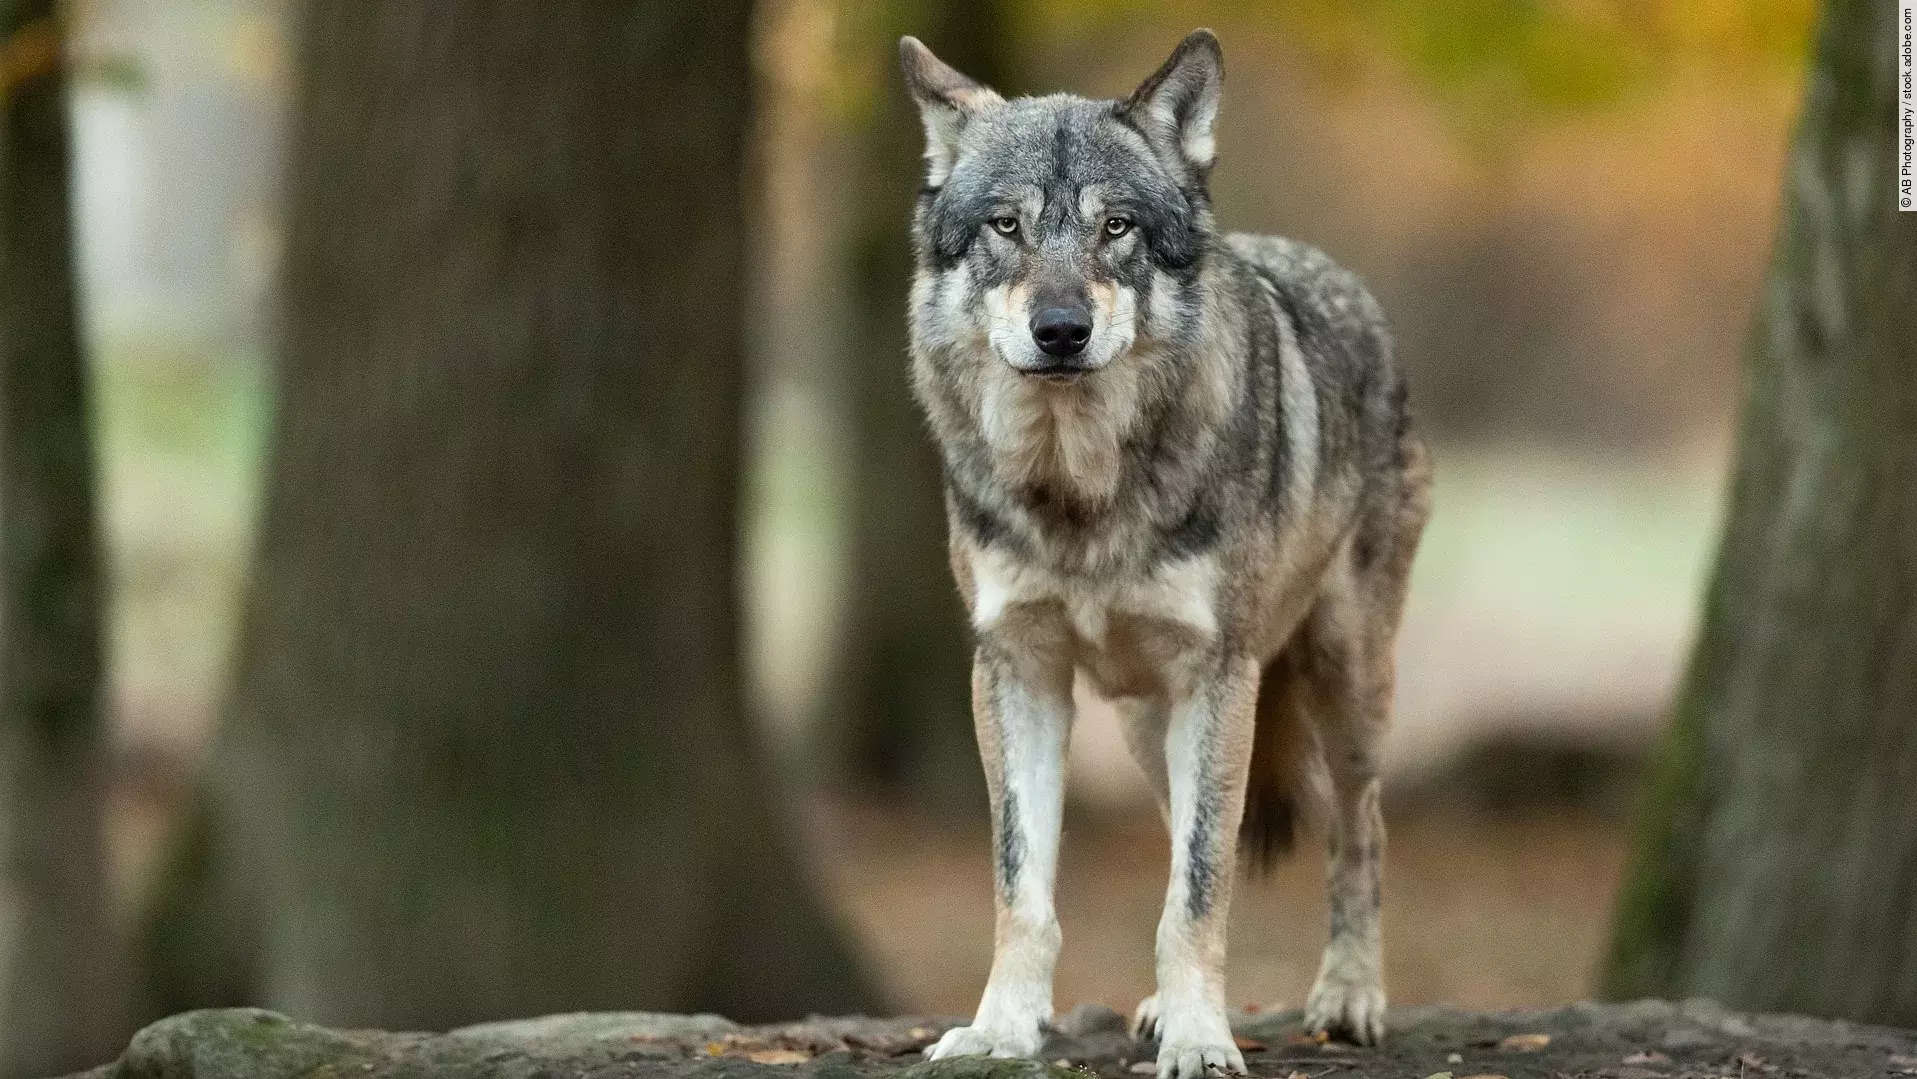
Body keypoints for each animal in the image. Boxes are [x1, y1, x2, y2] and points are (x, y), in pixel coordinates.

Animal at [899, 26, 1431, 1079]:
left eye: (1116, 228)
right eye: (1006, 227)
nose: (1060, 330)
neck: (1081, 492)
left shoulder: (1216, 676)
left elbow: (1199, 886)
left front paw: (1200, 1038)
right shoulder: (1015, 671)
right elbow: (1024, 887)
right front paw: (1001, 1028)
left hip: (1342, 687)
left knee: (1361, 829)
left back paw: (1348, 997)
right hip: (1152, 726)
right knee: (1186, 822)